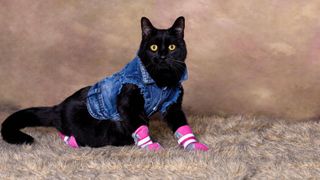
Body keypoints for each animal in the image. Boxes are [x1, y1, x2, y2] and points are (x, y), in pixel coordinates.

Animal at [1, 16, 209, 151]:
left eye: (172, 47)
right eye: (153, 47)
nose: (163, 56)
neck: (161, 81)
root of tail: (57, 108)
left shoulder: (173, 105)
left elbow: (182, 126)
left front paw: (194, 145)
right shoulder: (128, 104)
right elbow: (141, 128)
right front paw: (152, 147)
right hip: (104, 130)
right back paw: (70, 141)